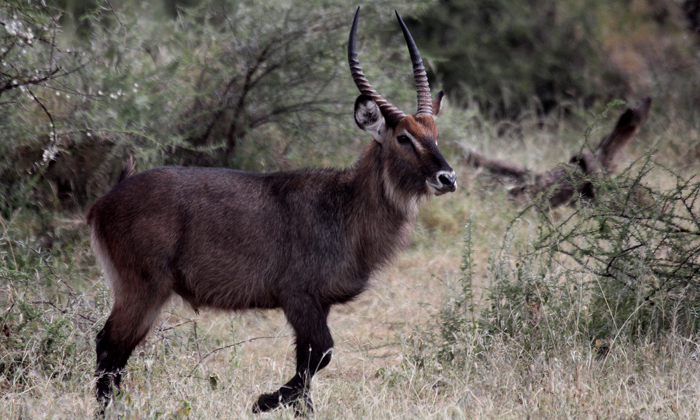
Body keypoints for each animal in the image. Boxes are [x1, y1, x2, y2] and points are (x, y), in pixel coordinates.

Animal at [87, 8, 456, 416]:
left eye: (435, 134)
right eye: (403, 137)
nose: (447, 177)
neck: (345, 207)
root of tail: (104, 201)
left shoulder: (320, 303)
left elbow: (308, 362)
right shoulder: (298, 295)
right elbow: (321, 353)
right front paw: (263, 401)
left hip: (151, 293)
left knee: (116, 354)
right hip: (141, 288)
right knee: (109, 347)